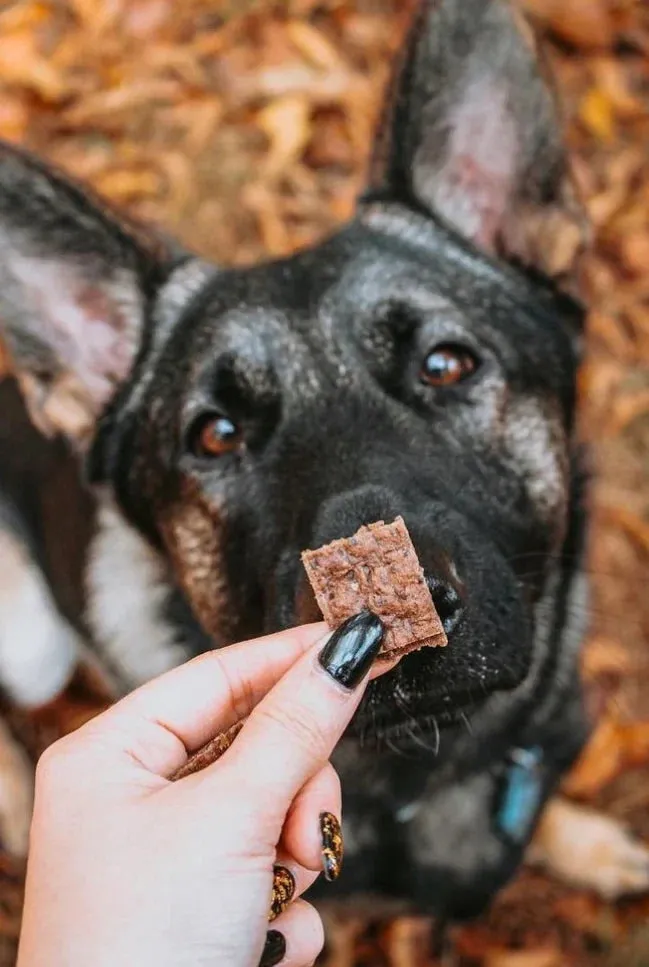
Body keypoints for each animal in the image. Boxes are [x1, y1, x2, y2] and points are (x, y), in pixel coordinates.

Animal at [1, 0, 648, 928]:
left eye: (446, 364)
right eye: (216, 434)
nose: (399, 613)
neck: (421, 778)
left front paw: (583, 841)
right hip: (30, 644)